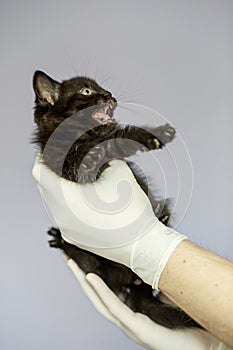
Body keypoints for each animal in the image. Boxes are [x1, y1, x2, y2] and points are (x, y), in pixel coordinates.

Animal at [32, 71, 199, 328]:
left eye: (101, 87)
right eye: (86, 91)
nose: (109, 95)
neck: (83, 135)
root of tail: (134, 281)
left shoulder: (111, 137)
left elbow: (121, 136)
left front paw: (157, 134)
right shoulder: (64, 163)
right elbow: (91, 157)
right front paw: (92, 158)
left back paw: (161, 218)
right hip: (90, 258)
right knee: (96, 270)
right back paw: (60, 240)